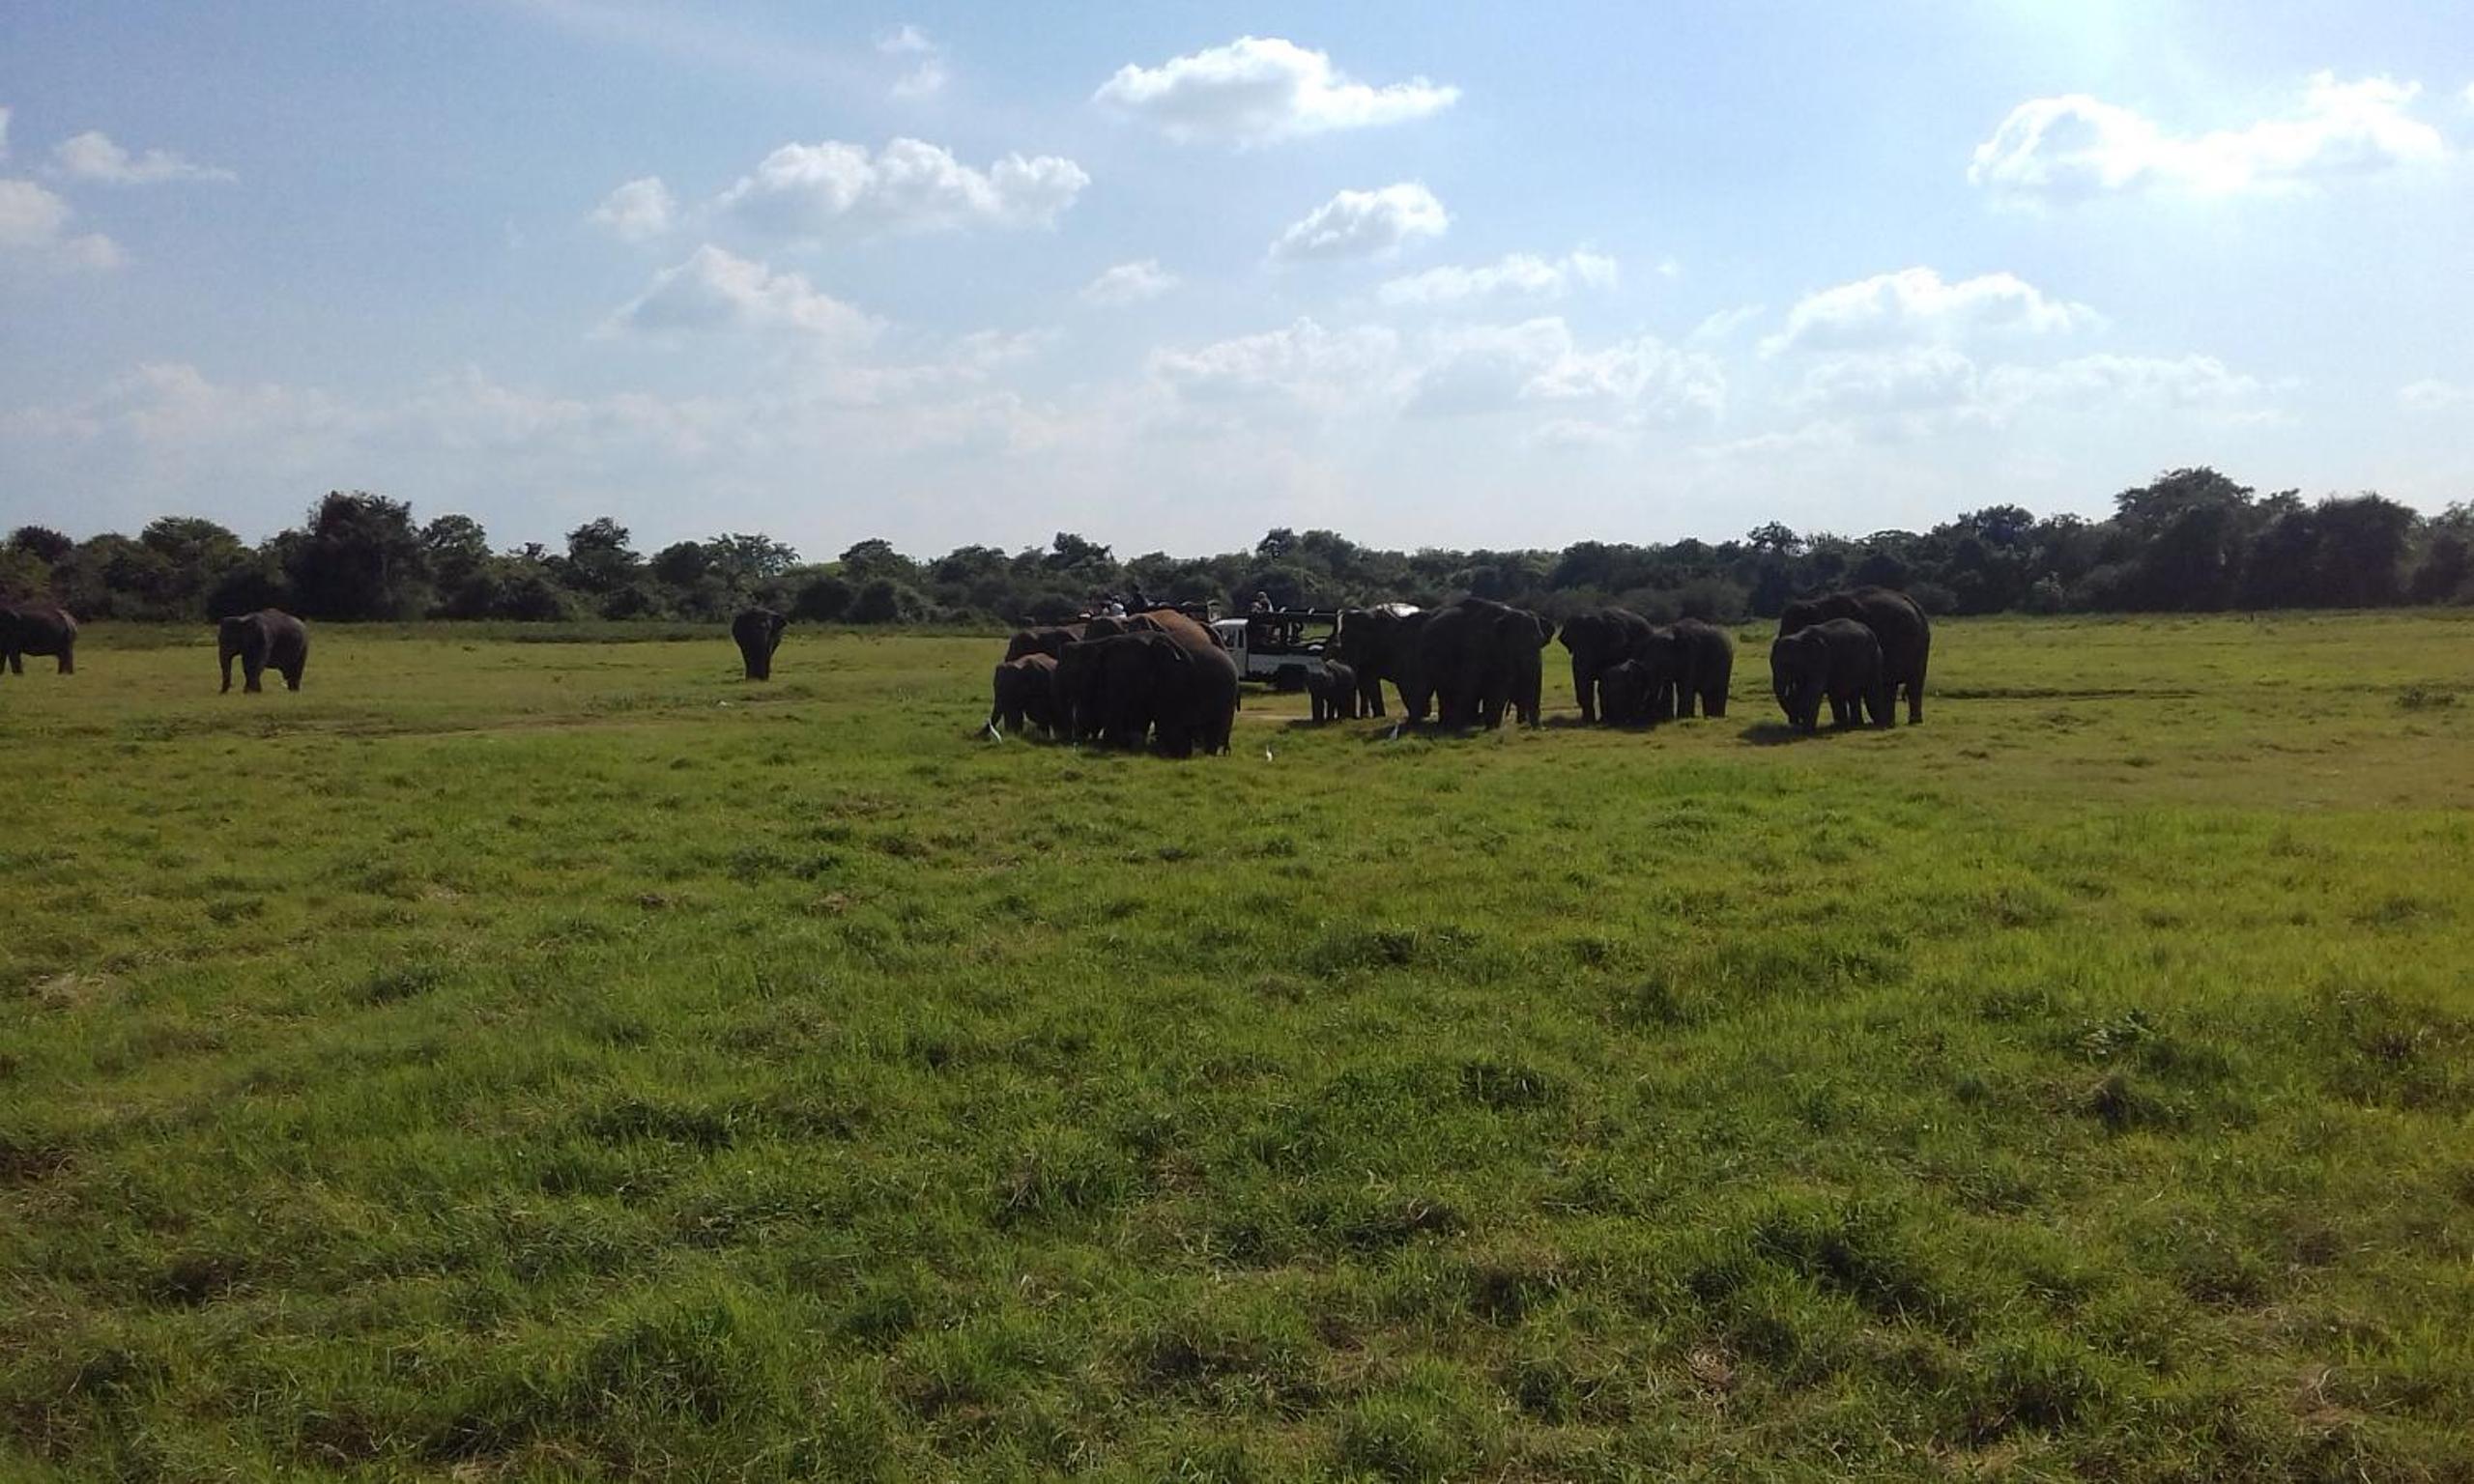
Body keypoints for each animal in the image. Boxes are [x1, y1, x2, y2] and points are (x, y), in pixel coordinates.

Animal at [1418, 597, 1554, 728]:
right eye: (1517, 645)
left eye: (1541, 642)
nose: (1541, 729)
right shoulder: (1475, 648)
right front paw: (1487, 727)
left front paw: (1491, 726)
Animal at [1779, 586, 1929, 724]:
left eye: (1795, 630)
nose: (1795, 720)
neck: (1816, 602)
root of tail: (1917, 606)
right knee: (1890, 686)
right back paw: (1890, 721)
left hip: (1919, 646)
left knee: (1914, 683)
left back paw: (1913, 721)